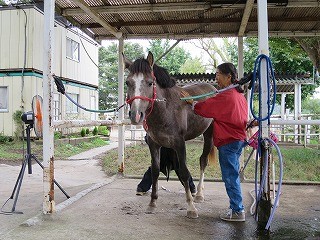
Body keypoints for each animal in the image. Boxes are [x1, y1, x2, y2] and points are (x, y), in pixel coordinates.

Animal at [124, 51, 216, 218]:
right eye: (128, 82)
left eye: (150, 83)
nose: (136, 115)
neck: (166, 109)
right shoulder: (154, 144)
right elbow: (155, 170)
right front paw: (152, 203)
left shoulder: (179, 144)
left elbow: (184, 172)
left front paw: (191, 207)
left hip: (209, 134)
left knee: (203, 161)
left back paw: (199, 194)